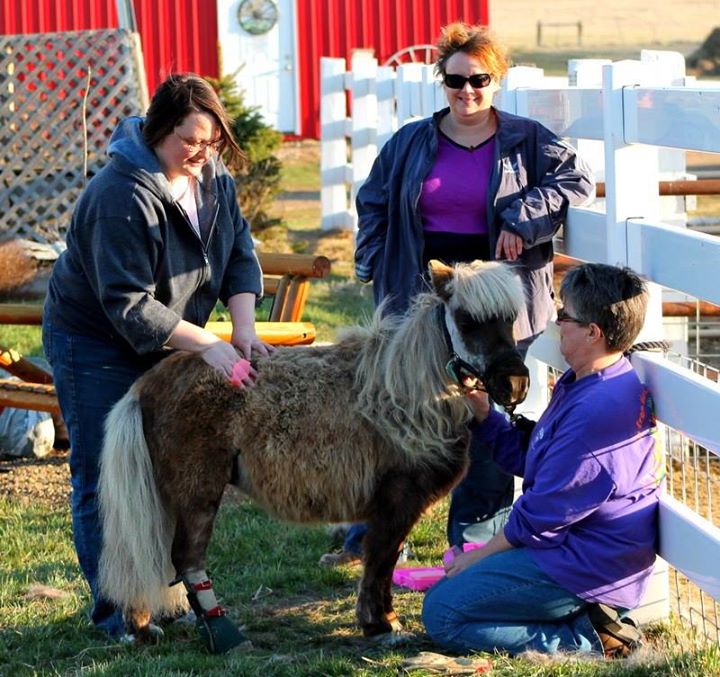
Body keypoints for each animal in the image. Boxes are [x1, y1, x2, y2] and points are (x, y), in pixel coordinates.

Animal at [97, 259, 530, 653]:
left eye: (510, 319)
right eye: (466, 321)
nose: (514, 384)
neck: (401, 395)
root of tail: (147, 384)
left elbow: (382, 561)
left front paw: (378, 622)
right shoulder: (397, 503)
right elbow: (381, 561)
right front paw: (382, 625)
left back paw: (142, 627)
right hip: (198, 492)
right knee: (186, 558)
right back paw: (221, 635)